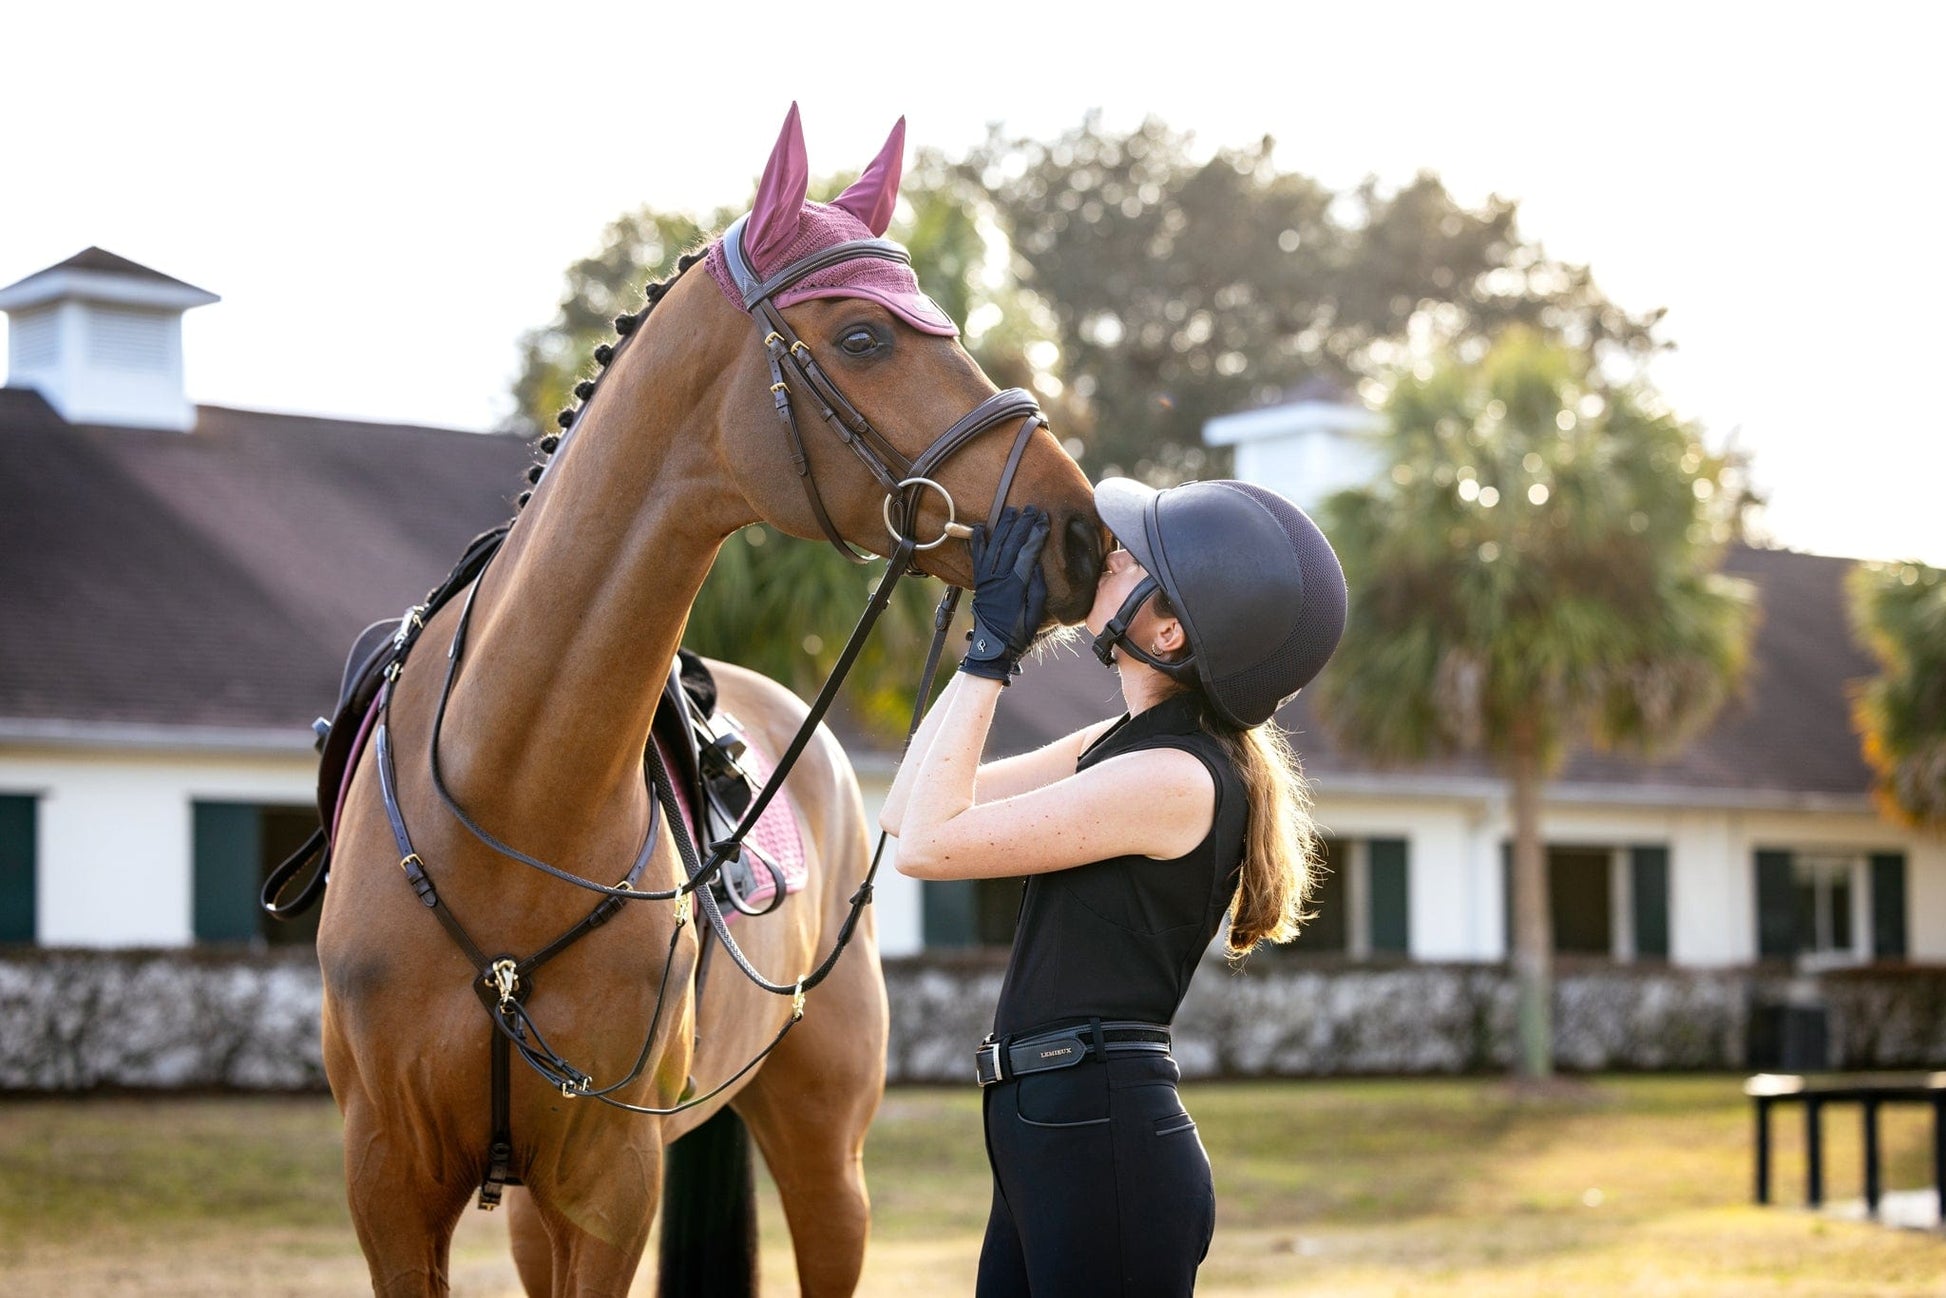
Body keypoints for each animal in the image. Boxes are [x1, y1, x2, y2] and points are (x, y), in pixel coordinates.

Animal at [311, 104, 1105, 1298]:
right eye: (863, 339)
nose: (1080, 532)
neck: (508, 803)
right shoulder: (391, 1188)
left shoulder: (609, 1181)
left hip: (824, 1155)